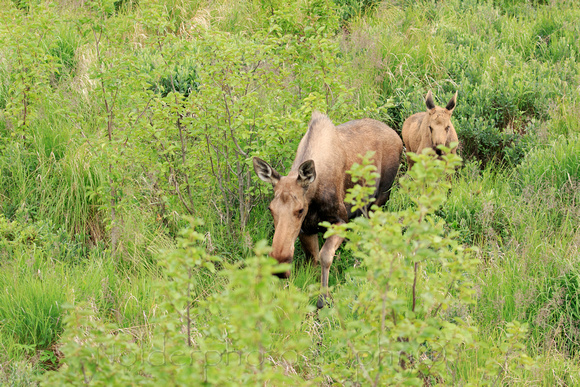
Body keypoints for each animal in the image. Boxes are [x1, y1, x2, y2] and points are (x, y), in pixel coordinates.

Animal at [254, 112, 404, 310]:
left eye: (300, 210)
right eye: (270, 209)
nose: (280, 261)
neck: (313, 197)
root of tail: (397, 136)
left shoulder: (340, 220)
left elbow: (325, 256)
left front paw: (323, 299)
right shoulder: (307, 229)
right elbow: (313, 260)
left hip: (381, 197)